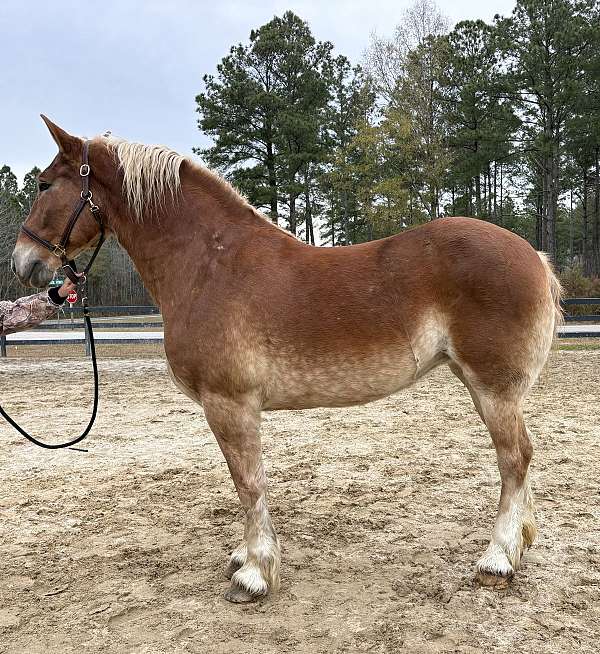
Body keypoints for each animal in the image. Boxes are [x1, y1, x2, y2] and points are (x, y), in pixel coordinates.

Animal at [11, 116, 562, 603]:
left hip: (492, 388)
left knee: (515, 459)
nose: (23, 263)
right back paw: (519, 546)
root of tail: (534, 257)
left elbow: (248, 483)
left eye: (43, 184)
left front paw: (255, 574)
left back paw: (497, 561)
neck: (209, 264)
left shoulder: (229, 404)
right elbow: (247, 485)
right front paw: (245, 557)